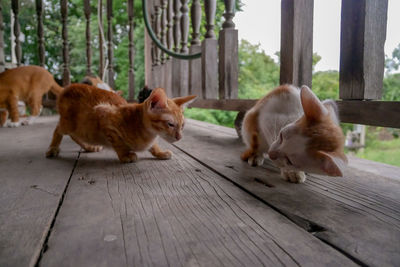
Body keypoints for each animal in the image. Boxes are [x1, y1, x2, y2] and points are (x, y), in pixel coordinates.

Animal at [46, 84, 196, 163]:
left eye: (182, 126)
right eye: (170, 124)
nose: (179, 137)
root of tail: (67, 87)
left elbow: (153, 145)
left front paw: (159, 152)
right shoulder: (104, 116)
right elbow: (118, 143)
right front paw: (125, 155)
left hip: (82, 129)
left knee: (75, 135)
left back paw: (89, 147)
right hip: (70, 124)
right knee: (58, 129)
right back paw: (53, 148)